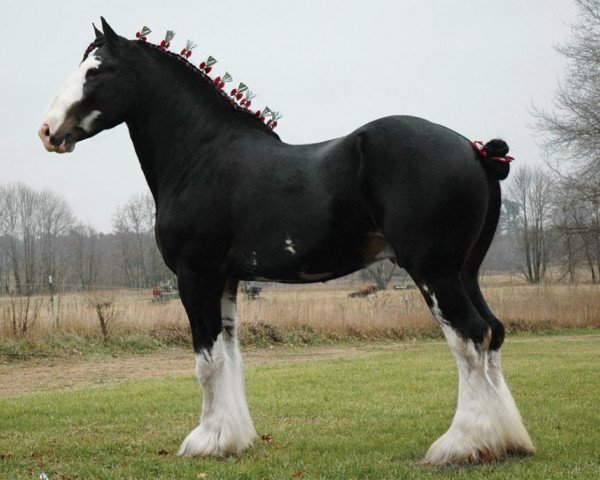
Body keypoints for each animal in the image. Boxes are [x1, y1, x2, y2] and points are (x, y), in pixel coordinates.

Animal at [38, 19, 536, 464]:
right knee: (493, 333)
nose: (47, 131)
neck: (202, 155)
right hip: (466, 272)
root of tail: (475, 150)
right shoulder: (226, 280)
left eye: (95, 70)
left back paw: (462, 445)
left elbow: (206, 361)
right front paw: (233, 439)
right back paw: (507, 441)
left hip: (434, 273)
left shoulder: (194, 276)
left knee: (469, 337)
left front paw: (206, 441)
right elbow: (230, 355)